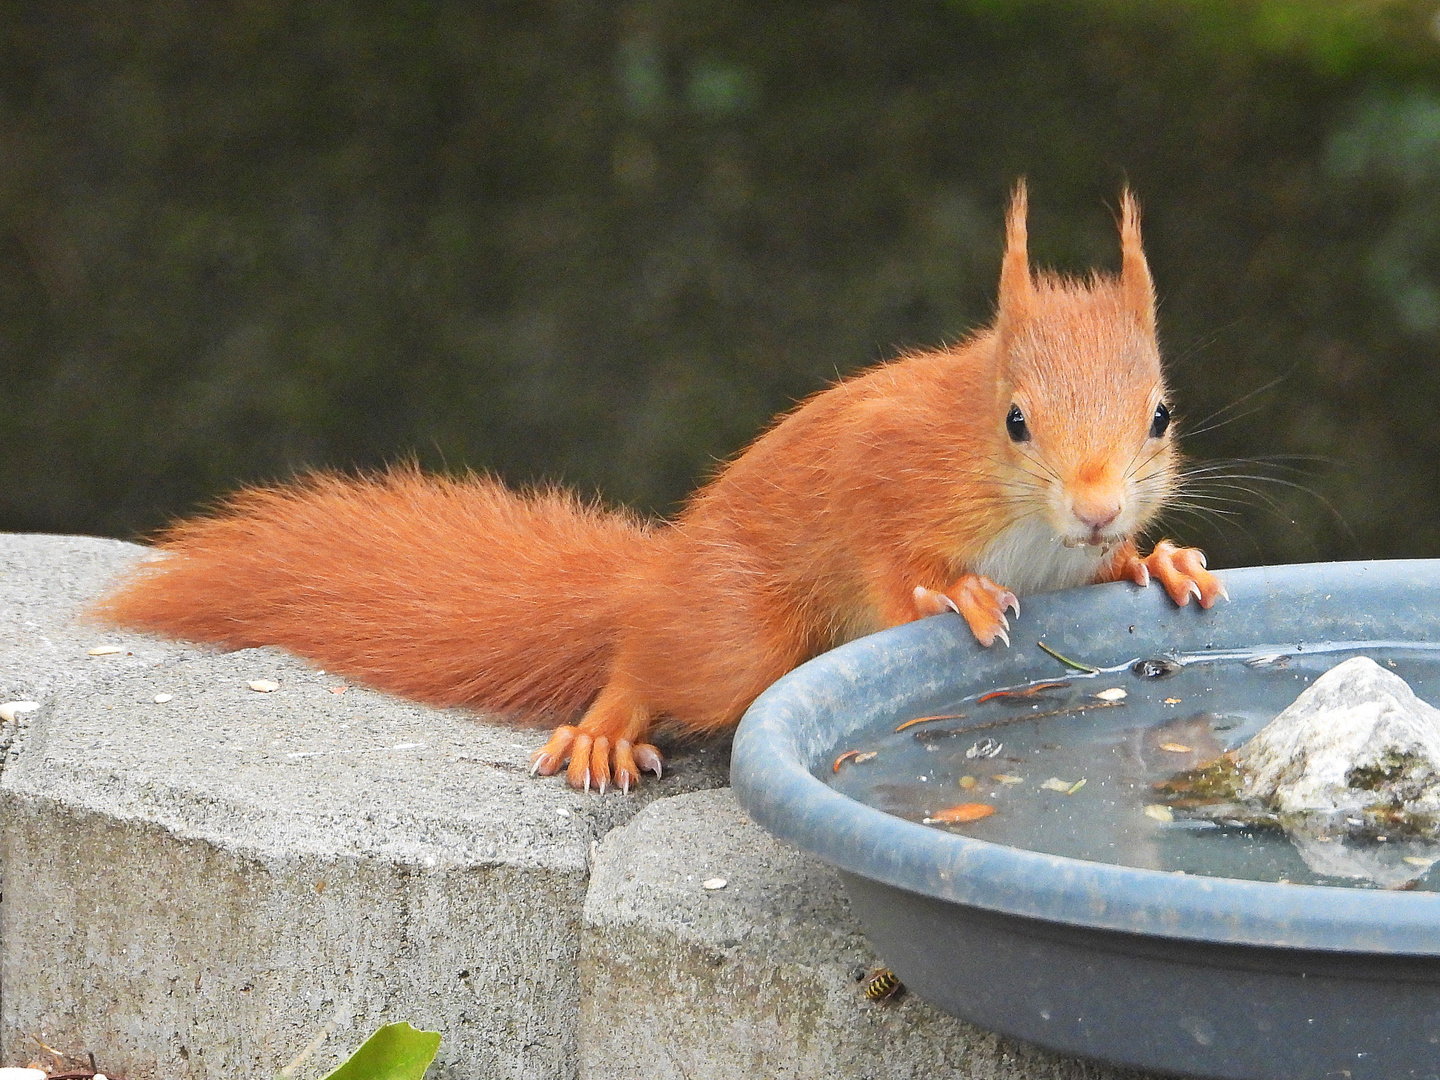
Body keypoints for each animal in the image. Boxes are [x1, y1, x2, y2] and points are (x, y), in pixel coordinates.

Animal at [95, 184, 1226, 794]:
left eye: (1161, 416)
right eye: (1015, 420)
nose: (1096, 508)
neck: (1034, 534)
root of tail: (658, 574)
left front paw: (1164, 560)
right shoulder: (887, 468)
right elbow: (887, 551)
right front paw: (956, 592)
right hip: (739, 631)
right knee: (651, 661)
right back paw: (605, 726)